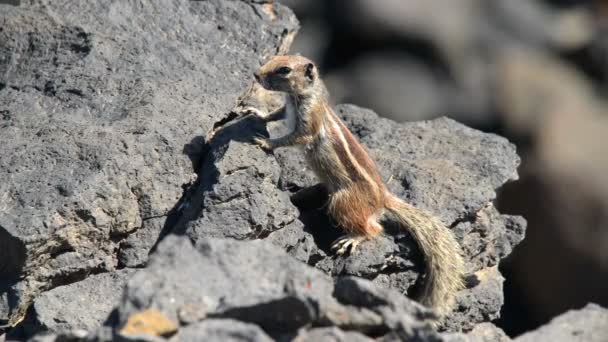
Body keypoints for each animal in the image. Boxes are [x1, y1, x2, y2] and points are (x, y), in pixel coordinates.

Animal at [249, 54, 464, 320]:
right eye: (273, 59)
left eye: (284, 70)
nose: (256, 75)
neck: (301, 95)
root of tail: (383, 197)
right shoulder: (286, 108)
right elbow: (275, 114)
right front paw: (256, 113)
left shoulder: (309, 122)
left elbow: (295, 137)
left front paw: (267, 142)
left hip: (342, 201)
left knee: (374, 229)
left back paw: (351, 239)